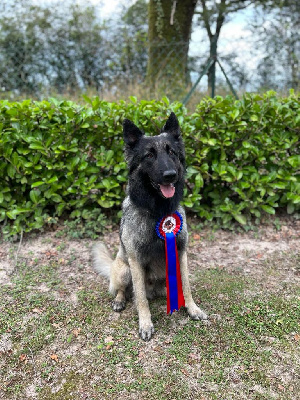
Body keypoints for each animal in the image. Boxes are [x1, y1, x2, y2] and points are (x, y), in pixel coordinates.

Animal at [92, 112, 207, 340]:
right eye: (149, 155)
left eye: (171, 152)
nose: (170, 175)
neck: (159, 212)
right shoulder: (136, 261)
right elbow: (140, 298)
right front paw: (145, 324)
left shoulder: (181, 253)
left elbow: (187, 286)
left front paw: (192, 309)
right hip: (124, 269)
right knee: (125, 290)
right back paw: (120, 300)